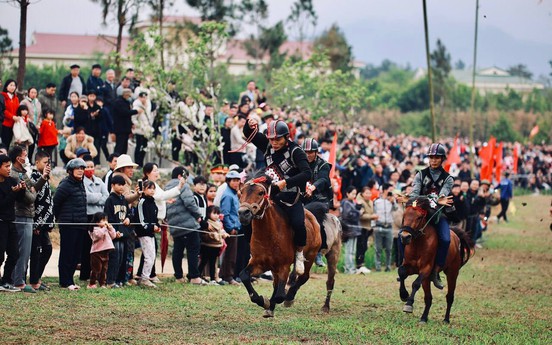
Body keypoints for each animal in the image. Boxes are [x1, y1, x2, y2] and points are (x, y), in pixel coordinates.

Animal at [237, 175, 340, 318]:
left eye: (261, 192)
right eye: (241, 192)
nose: (243, 213)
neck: (268, 235)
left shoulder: (283, 266)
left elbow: (280, 295)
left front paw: (274, 302)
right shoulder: (260, 263)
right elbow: (244, 276)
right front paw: (264, 302)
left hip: (320, 254)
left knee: (315, 278)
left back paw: (319, 304)